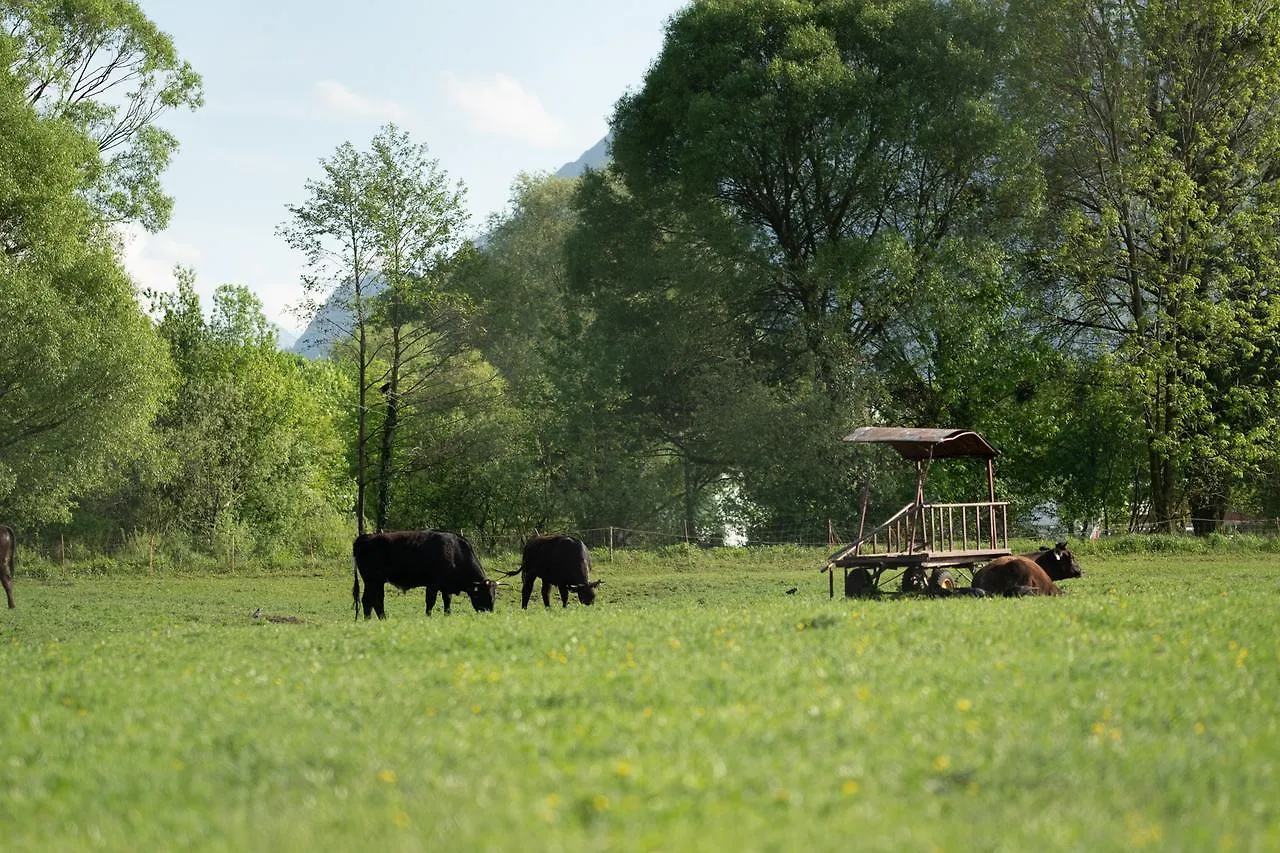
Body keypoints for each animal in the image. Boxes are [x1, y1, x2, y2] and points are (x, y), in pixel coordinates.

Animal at [353, 527, 496, 614]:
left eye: (493, 596)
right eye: (485, 595)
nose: (489, 613)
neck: (456, 553)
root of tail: (365, 537)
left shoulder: (445, 587)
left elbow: (447, 602)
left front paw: (447, 615)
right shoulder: (433, 584)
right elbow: (430, 602)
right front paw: (428, 616)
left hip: (371, 582)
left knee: (367, 601)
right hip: (374, 581)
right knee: (376, 601)